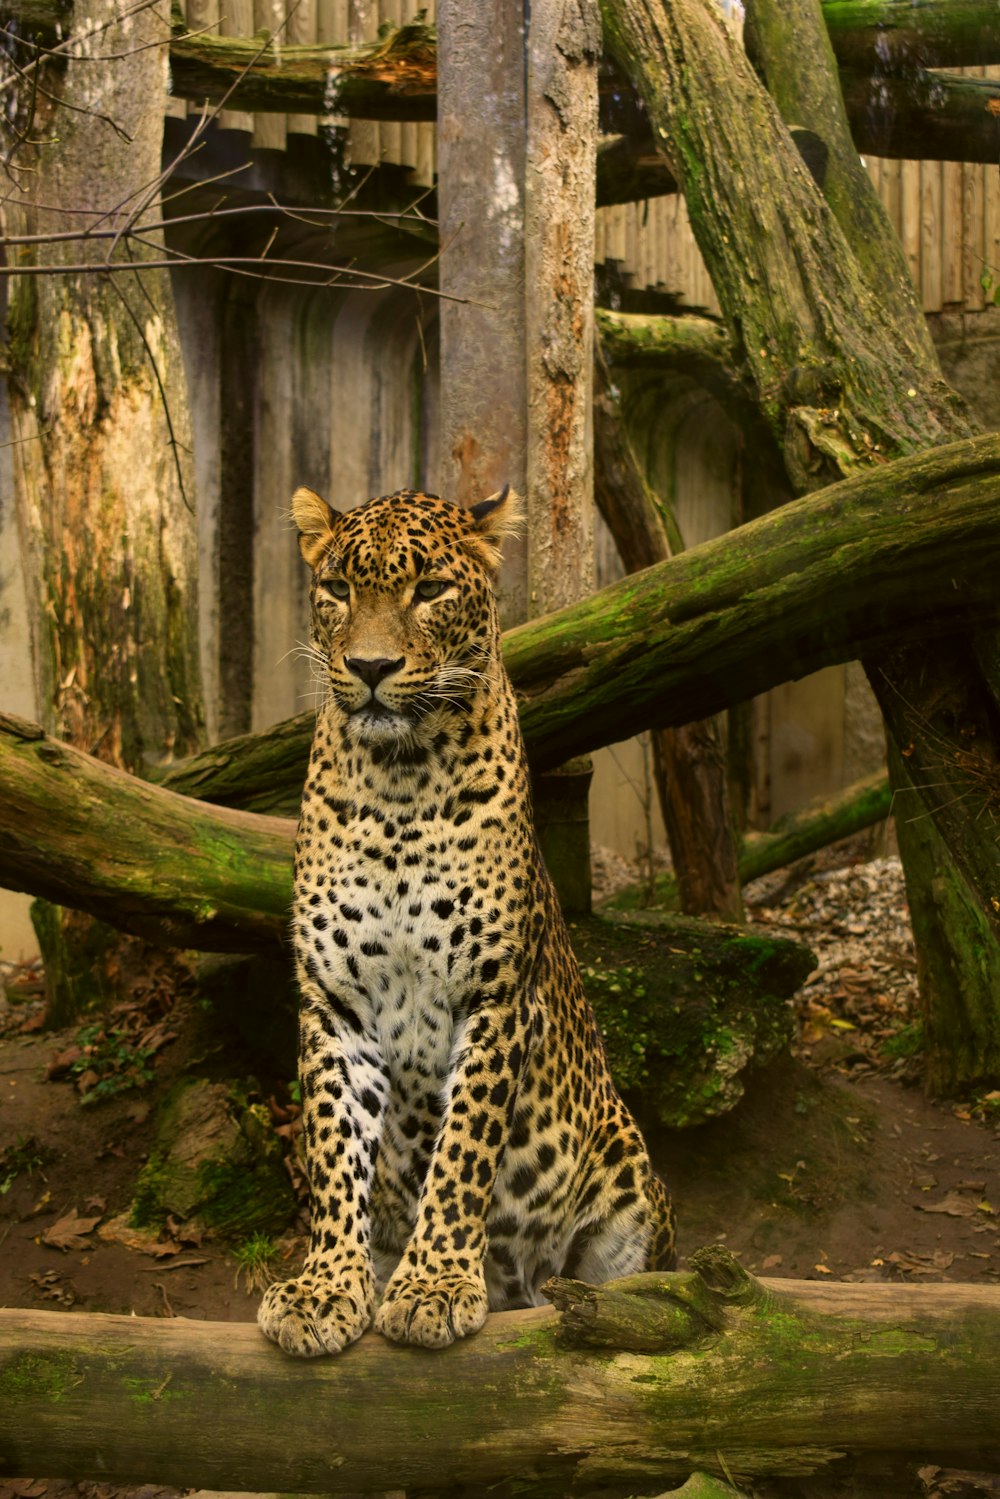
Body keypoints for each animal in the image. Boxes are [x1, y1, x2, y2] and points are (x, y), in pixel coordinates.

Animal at [257, 482, 680, 1361]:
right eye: (338, 588)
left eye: (430, 590)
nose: (370, 667)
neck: (399, 781)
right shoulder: (334, 1003)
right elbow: (332, 1148)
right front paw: (326, 1288)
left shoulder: (493, 997)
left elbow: (462, 1151)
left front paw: (436, 1285)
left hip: (629, 1176)